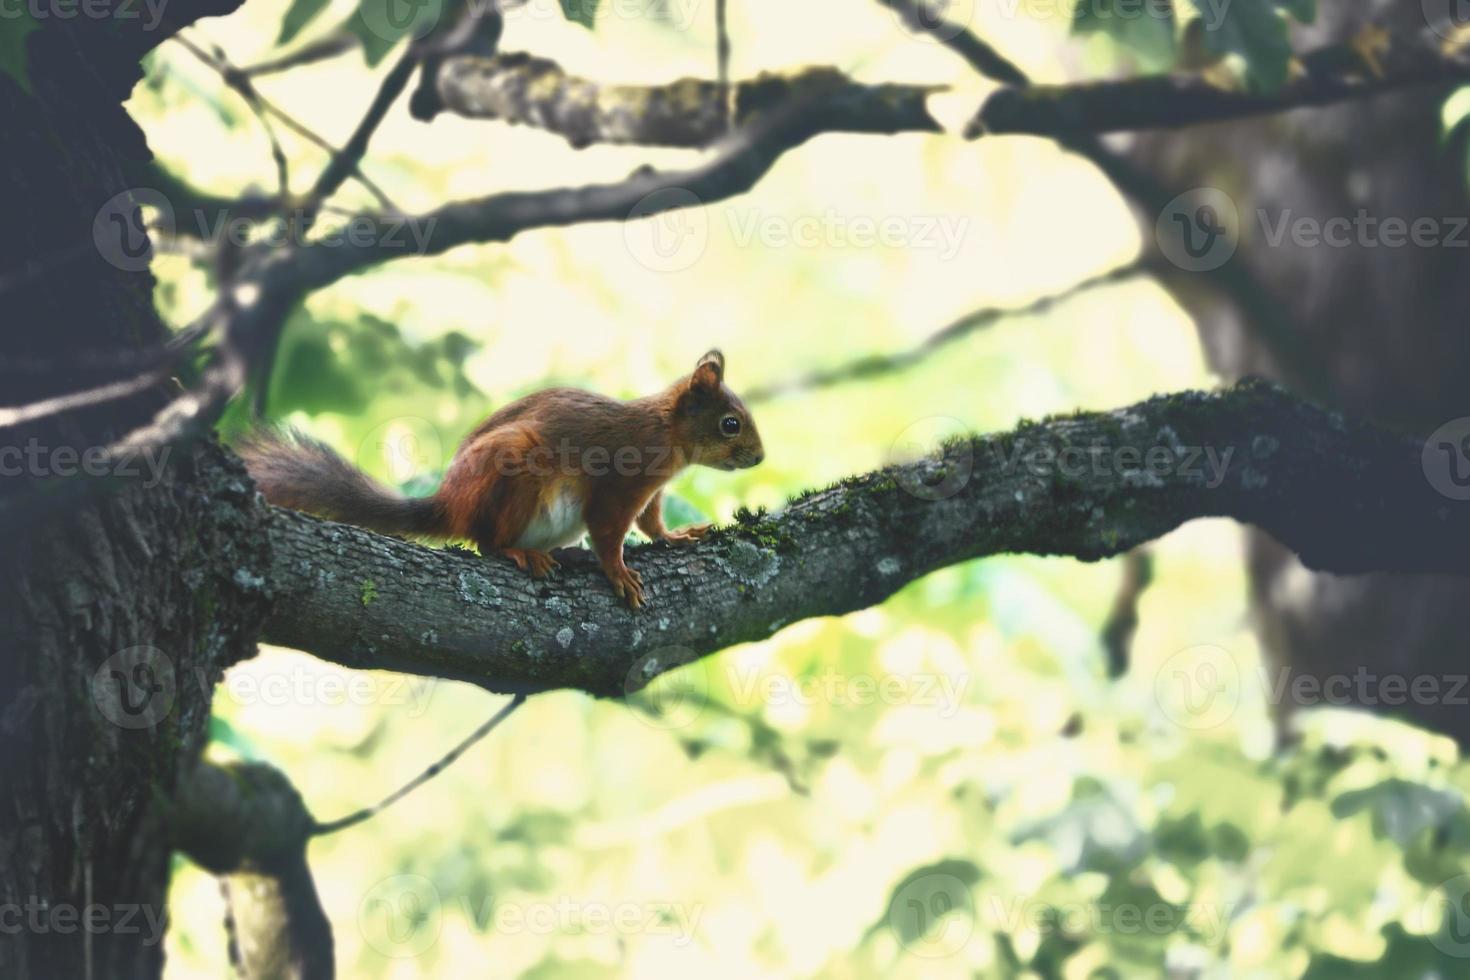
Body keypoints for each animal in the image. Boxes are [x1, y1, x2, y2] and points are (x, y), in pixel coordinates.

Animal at [238, 348, 770, 608]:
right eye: (730, 424)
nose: (760, 457)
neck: (666, 432)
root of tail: (450, 503)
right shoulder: (621, 482)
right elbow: (609, 531)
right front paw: (618, 572)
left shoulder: (650, 491)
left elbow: (651, 523)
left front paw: (676, 536)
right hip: (515, 473)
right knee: (485, 542)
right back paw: (520, 553)